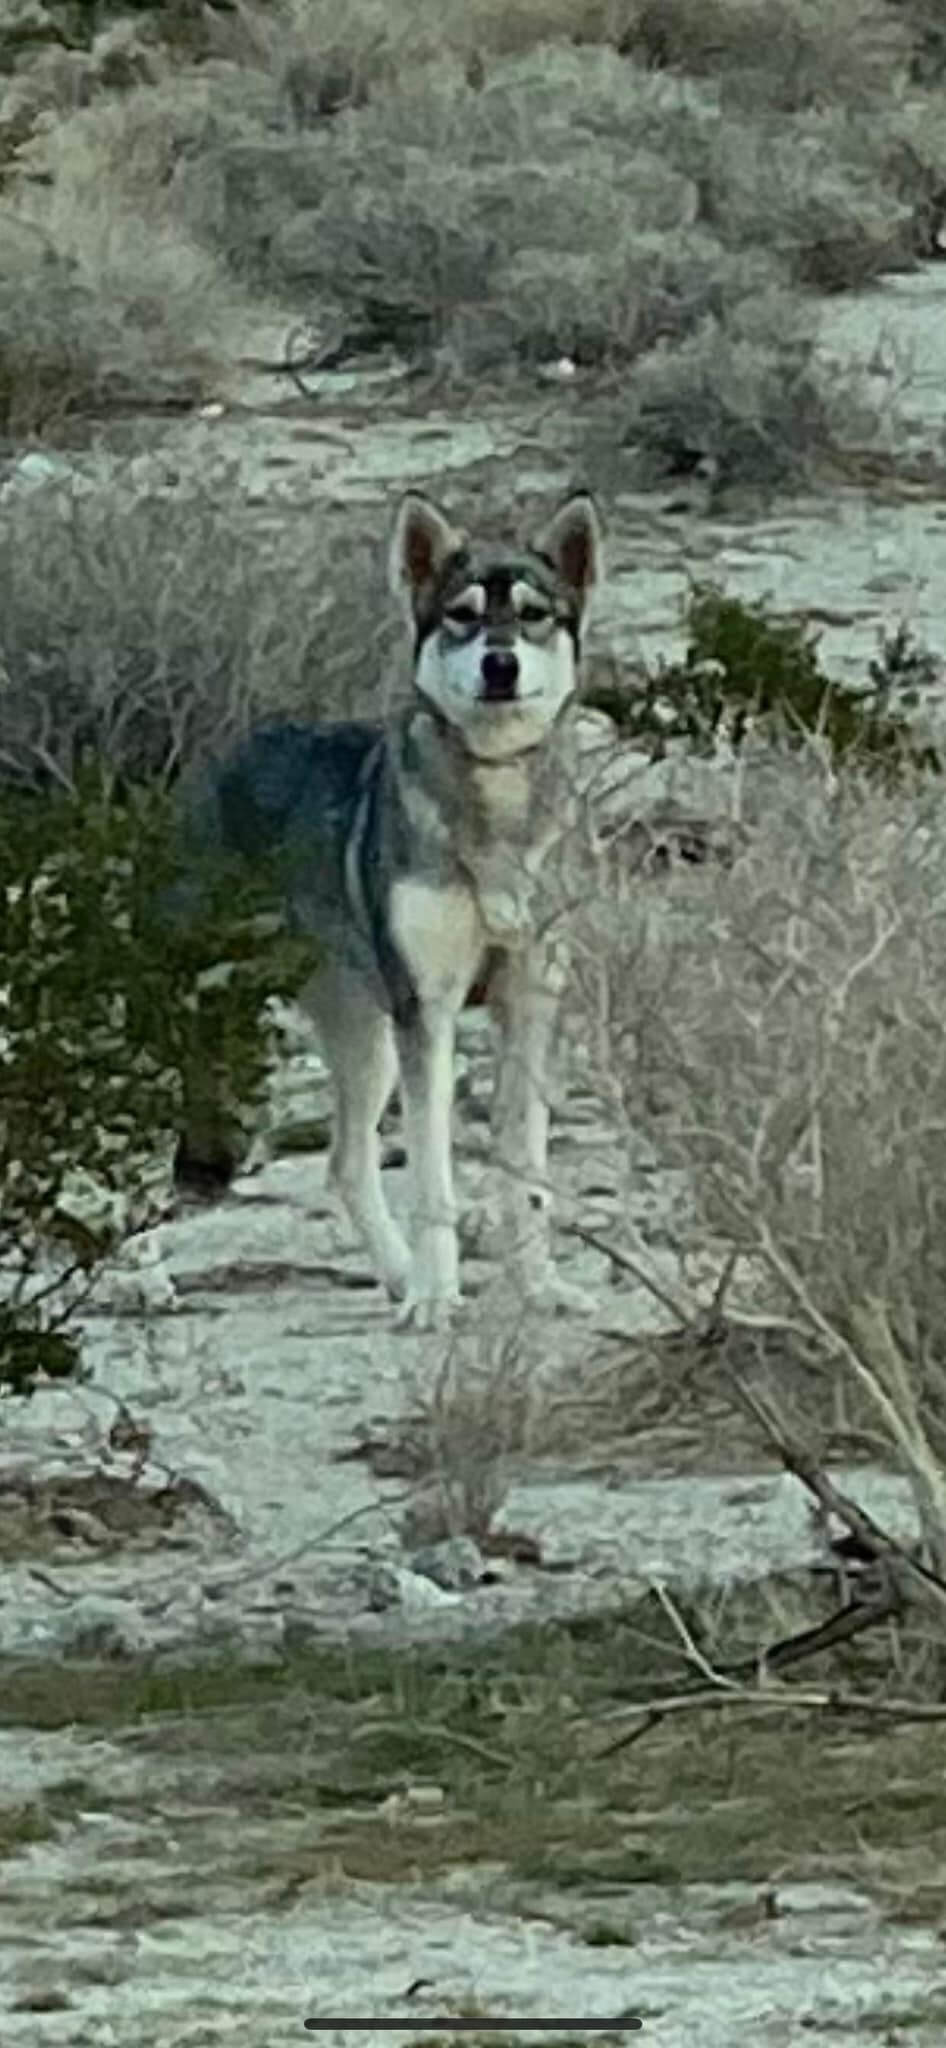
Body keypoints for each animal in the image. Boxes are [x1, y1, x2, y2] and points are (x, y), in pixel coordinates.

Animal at [173, 489, 603, 1329]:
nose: (499, 665)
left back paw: (399, 1275)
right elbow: (434, 1179)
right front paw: (439, 1299)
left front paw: (538, 1287)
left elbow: (525, 1174)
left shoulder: (530, 1006)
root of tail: (219, 759)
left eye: (533, 615)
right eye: (462, 616)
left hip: (365, 1042)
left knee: (344, 1164)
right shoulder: (428, 1014)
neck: (494, 803)